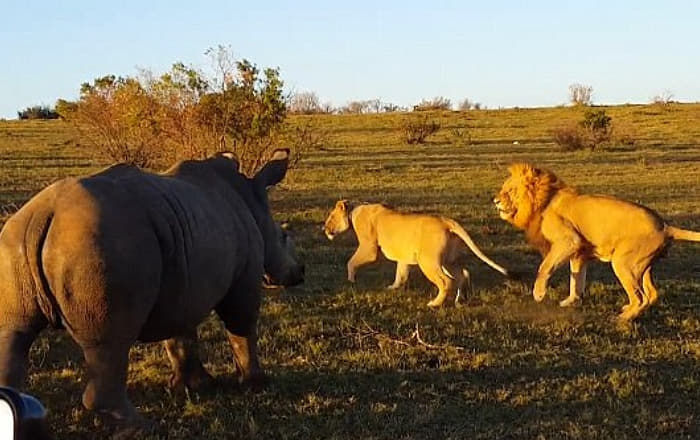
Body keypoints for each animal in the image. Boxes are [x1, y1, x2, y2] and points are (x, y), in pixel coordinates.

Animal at [322, 202, 508, 308]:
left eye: (330, 217)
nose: (324, 229)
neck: (353, 213)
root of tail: (446, 221)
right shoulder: (403, 258)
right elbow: (401, 275)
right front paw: (392, 288)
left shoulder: (370, 249)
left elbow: (351, 262)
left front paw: (351, 280)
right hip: (448, 261)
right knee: (463, 274)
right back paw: (458, 301)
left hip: (428, 261)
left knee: (446, 281)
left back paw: (434, 304)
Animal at [492, 163, 700, 322]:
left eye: (510, 190)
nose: (494, 200)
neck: (544, 200)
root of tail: (665, 227)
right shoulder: (579, 253)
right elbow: (576, 280)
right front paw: (570, 301)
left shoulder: (569, 240)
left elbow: (545, 266)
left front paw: (539, 293)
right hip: (643, 266)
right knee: (651, 294)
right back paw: (628, 310)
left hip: (623, 263)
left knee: (641, 297)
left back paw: (622, 319)